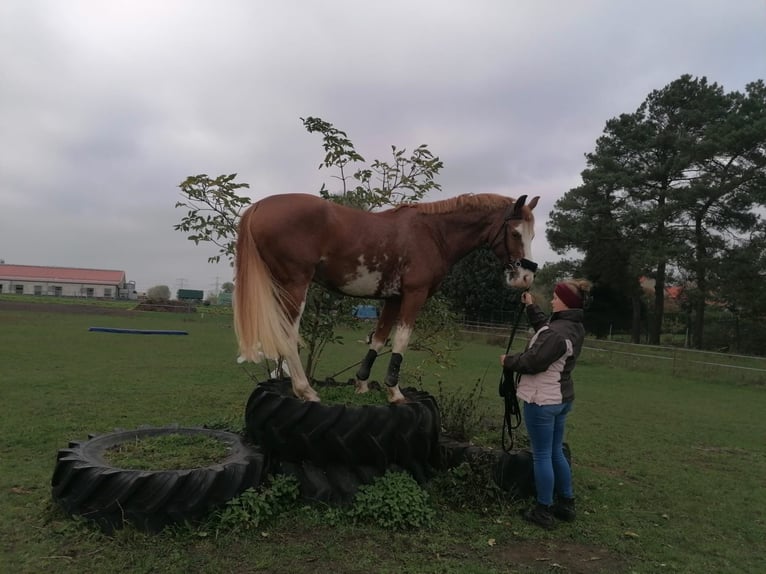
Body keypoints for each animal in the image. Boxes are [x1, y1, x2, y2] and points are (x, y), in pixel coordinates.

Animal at [234, 192, 539, 403]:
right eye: (515, 233)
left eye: (532, 235)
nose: (526, 278)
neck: (433, 233)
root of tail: (260, 205)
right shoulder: (414, 295)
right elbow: (401, 339)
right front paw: (395, 392)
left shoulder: (392, 298)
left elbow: (378, 339)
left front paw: (361, 385)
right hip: (296, 285)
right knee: (288, 333)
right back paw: (305, 390)